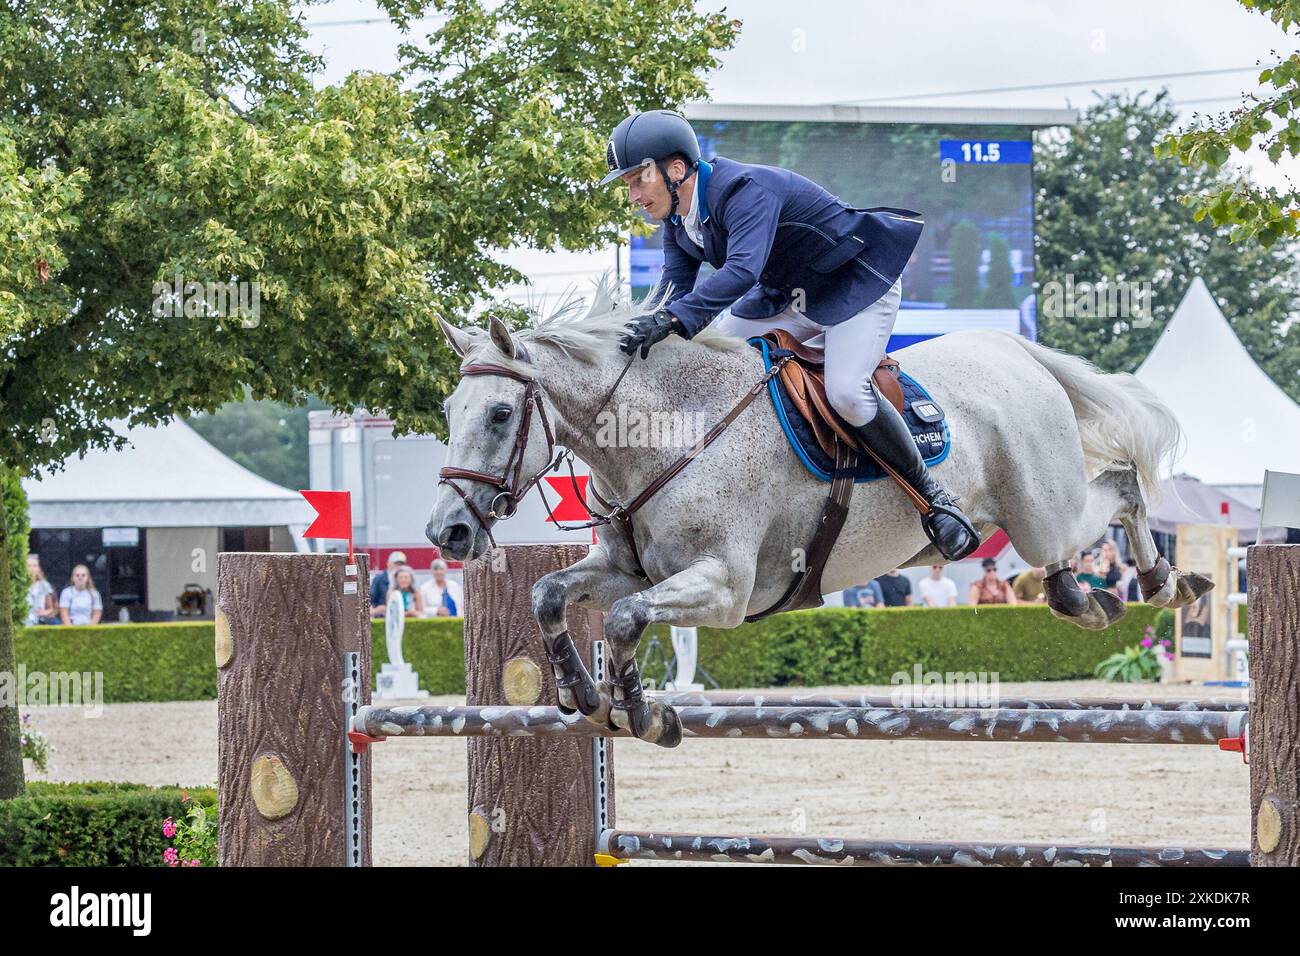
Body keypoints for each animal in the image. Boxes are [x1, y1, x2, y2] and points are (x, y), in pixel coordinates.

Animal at [431, 290, 1211, 749]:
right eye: (447, 410)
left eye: (499, 413)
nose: (448, 533)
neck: (667, 433)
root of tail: (1014, 350)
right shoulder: (628, 570)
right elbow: (549, 594)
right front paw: (585, 697)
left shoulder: (726, 588)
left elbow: (624, 621)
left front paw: (645, 715)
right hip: (1037, 515)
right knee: (1092, 522)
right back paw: (1093, 593)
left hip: (1042, 513)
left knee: (1119, 488)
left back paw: (1161, 583)